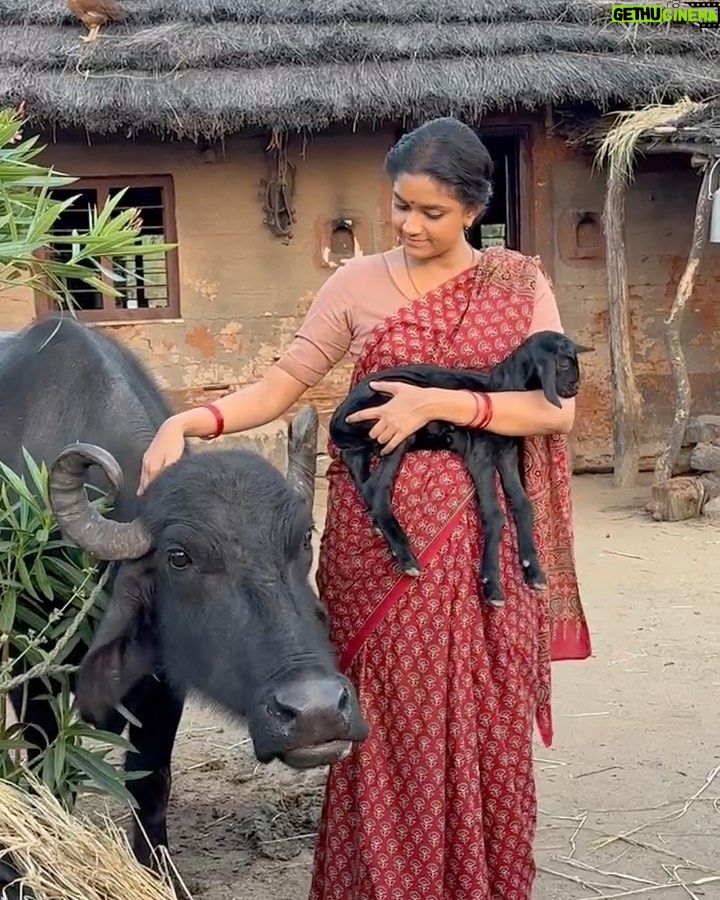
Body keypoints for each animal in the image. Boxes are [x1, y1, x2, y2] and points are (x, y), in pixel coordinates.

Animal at [0, 316, 368, 864]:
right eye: (179, 557)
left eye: (304, 538)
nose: (317, 711)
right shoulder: (30, 665)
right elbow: (48, 766)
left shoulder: (163, 681)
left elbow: (150, 782)